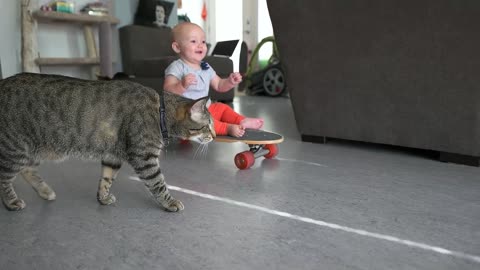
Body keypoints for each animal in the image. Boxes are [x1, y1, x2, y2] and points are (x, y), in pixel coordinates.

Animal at [0, 73, 214, 212]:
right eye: (208, 125)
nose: (213, 135)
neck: (159, 111)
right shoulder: (144, 157)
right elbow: (158, 183)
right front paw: (169, 202)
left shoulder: (113, 156)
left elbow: (106, 179)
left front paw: (102, 198)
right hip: (15, 149)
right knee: (4, 177)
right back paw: (11, 202)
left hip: (33, 151)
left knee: (27, 170)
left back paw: (45, 191)